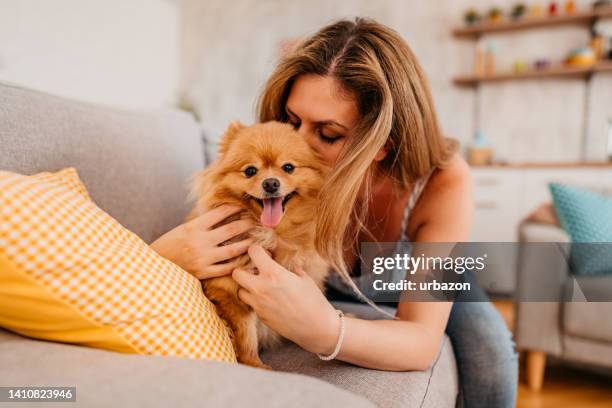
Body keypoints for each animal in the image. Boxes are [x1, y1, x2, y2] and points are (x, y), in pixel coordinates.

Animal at [190, 119, 330, 368]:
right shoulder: (229, 292)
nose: (271, 183)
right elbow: (246, 334)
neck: (271, 233)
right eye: (250, 171)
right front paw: (254, 364)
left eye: (288, 168)